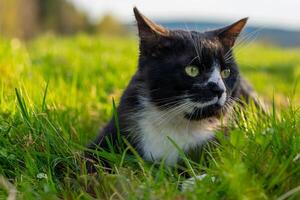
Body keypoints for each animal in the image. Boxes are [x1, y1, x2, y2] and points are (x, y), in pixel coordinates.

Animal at [84, 6, 262, 172]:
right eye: (192, 70)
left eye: (226, 72)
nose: (219, 90)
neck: (175, 121)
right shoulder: (119, 125)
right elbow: (85, 159)